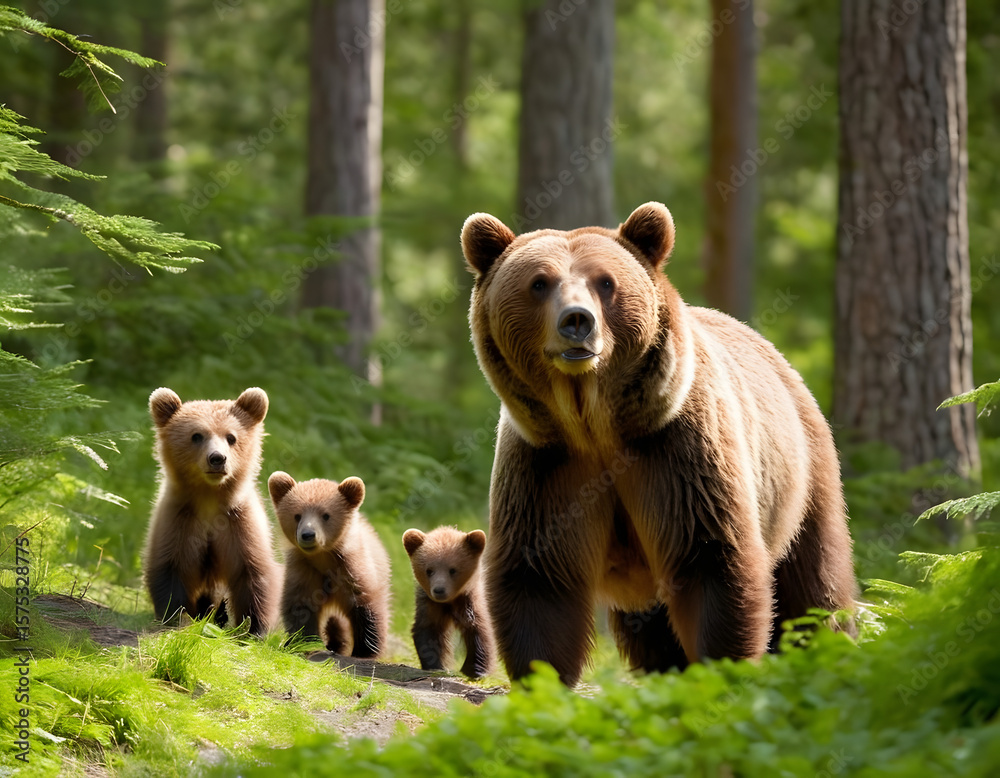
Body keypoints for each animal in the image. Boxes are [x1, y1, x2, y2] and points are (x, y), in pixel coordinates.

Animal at [143, 386, 281, 636]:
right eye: (197, 435)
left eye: (231, 437)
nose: (217, 458)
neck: (210, 498)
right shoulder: (180, 520)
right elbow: (170, 570)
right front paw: (177, 618)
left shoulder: (238, 522)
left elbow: (252, 573)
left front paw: (255, 629)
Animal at [268, 471, 391, 658]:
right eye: (297, 515)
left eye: (326, 515)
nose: (308, 535)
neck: (324, 559)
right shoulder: (304, 570)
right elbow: (301, 606)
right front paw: (307, 642)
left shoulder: (353, 571)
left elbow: (367, 608)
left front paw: (365, 651)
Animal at [402, 526, 495, 679]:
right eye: (429, 570)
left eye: (453, 570)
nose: (439, 590)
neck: (450, 601)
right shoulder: (430, 605)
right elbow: (428, 630)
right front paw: (436, 665)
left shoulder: (469, 601)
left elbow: (478, 629)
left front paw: (476, 669)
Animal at [460, 201, 857, 686]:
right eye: (539, 282)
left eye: (605, 282)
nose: (577, 321)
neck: (593, 423)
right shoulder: (547, 463)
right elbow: (541, 575)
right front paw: (543, 678)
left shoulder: (676, 449)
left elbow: (709, 556)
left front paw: (720, 666)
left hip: (800, 474)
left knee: (815, 581)